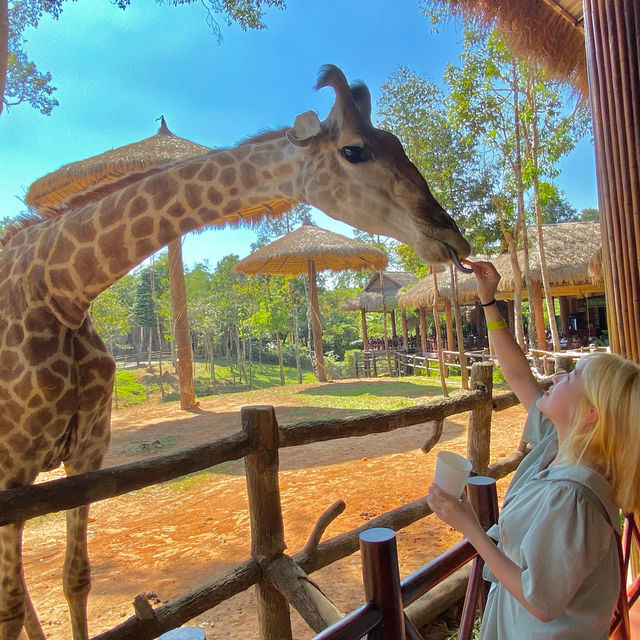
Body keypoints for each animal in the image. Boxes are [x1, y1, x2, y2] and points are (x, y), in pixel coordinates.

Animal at [0, 62, 470, 636]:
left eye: (397, 143)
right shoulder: (12, 466)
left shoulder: (86, 452)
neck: (57, 287)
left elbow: (75, 582)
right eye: (354, 150)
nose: (451, 237)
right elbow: (12, 605)